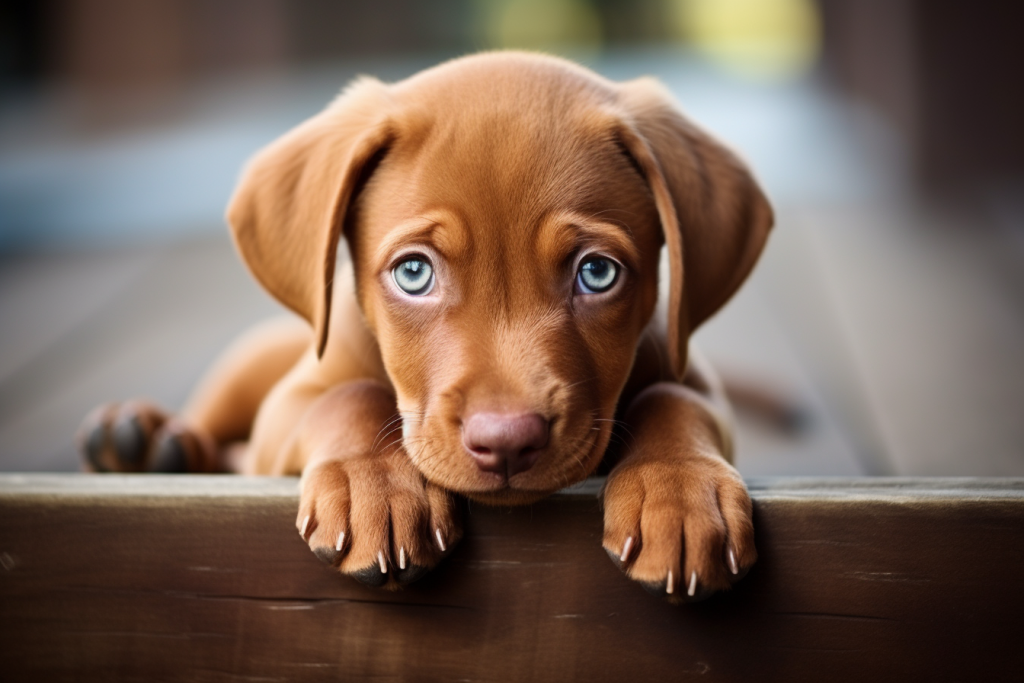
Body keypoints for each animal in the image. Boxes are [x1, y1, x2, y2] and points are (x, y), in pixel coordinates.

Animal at [77, 50, 770, 602]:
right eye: (414, 273)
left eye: (597, 273)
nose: (507, 442)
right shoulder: (286, 410)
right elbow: (346, 395)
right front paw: (374, 484)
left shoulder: (696, 382)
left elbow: (673, 398)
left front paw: (679, 493)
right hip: (249, 361)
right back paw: (142, 440)